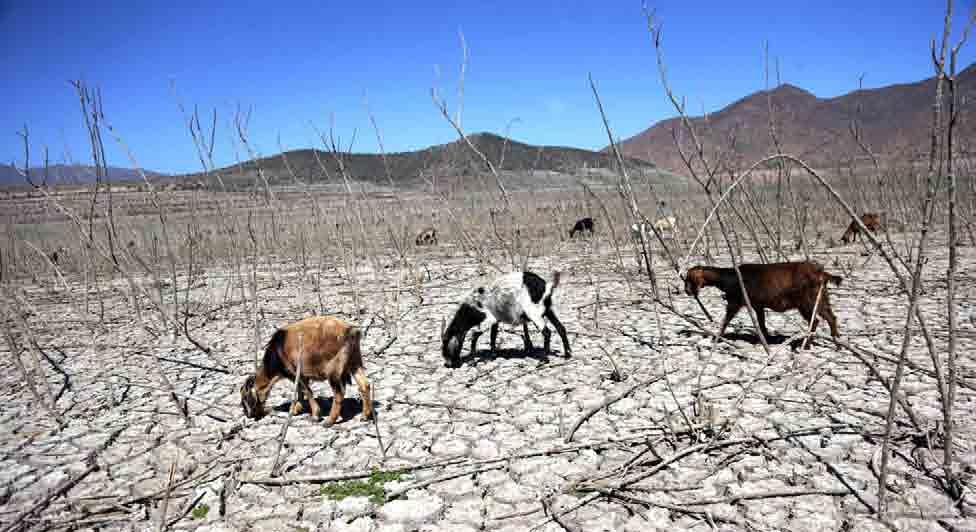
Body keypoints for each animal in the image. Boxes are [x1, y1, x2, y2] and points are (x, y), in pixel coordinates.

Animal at [240, 315, 372, 426]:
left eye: (245, 397)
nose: (248, 415)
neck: (278, 350)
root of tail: (350, 331)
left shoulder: (296, 373)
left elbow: (306, 391)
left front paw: (315, 415)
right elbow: (300, 392)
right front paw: (296, 409)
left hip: (333, 369)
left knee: (339, 393)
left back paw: (330, 421)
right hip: (355, 362)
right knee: (365, 385)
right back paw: (365, 415)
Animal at [442, 271, 571, 368]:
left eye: (445, 343)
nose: (448, 364)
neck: (472, 305)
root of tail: (546, 286)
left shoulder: (489, 318)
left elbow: (474, 335)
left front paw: (473, 360)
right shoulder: (496, 320)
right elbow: (493, 336)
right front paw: (493, 355)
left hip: (533, 312)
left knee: (547, 332)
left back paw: (543, 360)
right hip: (548, 310)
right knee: (561, 328)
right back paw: (567, 354)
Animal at [684, 261, 842, 347]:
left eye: (689, 278)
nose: (686, 291)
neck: (730, 277)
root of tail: (821, 273)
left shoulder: (734, 303)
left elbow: (725, 321)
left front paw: (716, 338)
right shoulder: (758, 306)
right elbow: (761, 324)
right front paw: (766, 339)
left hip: (807, 302)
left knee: (815, 321)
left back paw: (807, 344)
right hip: (820, 299)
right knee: (831, 317)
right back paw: (836, 341)